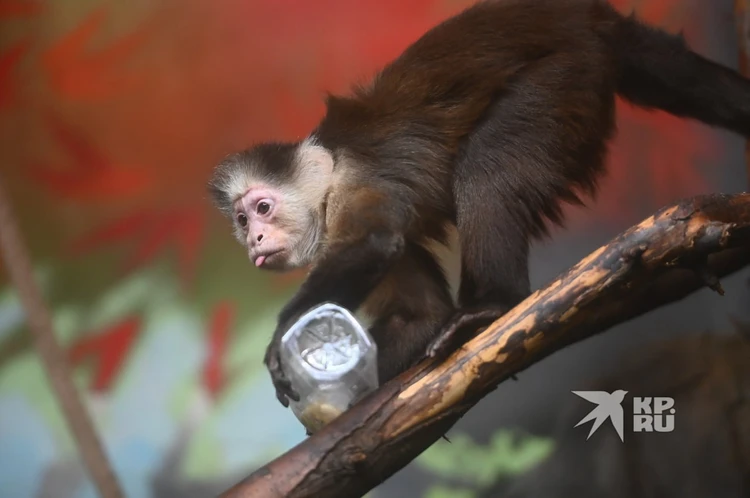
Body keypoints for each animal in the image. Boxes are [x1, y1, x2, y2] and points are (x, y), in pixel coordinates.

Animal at [208, 0, 750, 408]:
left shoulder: (356, 185)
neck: (332, 170)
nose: (254, 238)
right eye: (242, 221)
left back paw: (496, 303)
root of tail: (583, 16)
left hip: (567, 74)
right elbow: (420, 316)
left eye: (262, 209)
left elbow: (374, 242)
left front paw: (282, 344)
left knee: (487, 164)